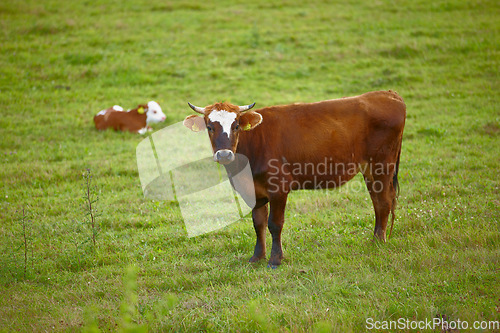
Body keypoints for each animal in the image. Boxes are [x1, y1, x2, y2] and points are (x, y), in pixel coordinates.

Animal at [184, 90, 406, 268]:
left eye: (236, 125)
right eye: (209, 127)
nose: (224, 155)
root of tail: (387, 94)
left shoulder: (279, 188)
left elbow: (274, 223)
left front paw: (275, 259)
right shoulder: (254, 191)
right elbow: (258, 223)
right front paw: (257, 257)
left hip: (381, 165)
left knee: (383, 202)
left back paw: (378, 242)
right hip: (370, 170)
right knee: (377, 202)